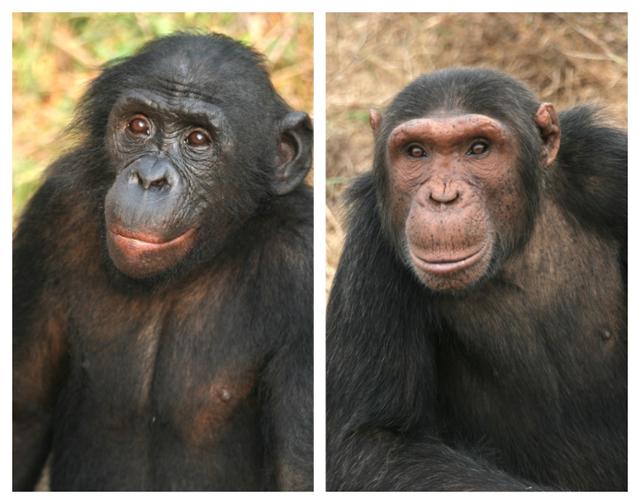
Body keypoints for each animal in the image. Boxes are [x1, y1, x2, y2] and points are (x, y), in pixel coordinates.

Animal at [13, 32, 314, 492]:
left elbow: (300, 470)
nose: (150, 178)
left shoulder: (303, 264)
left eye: (198, 140)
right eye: (139, 126)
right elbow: (23, 413)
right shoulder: (53, 214)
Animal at [328, 69, 628, 490]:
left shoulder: (612, 173)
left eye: (478, 148)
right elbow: (369, 441)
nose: (443, 196)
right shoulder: (372, 246)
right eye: (416, 152)